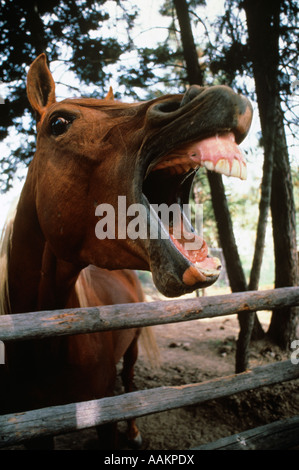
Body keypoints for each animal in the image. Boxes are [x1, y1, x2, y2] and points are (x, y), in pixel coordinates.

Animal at [0, 53, 253, 450]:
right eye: (58, 123)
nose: (214, 96)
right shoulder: (33, 425)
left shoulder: (101, 410)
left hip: (132, 349)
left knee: (131, 382)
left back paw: (133, 431)